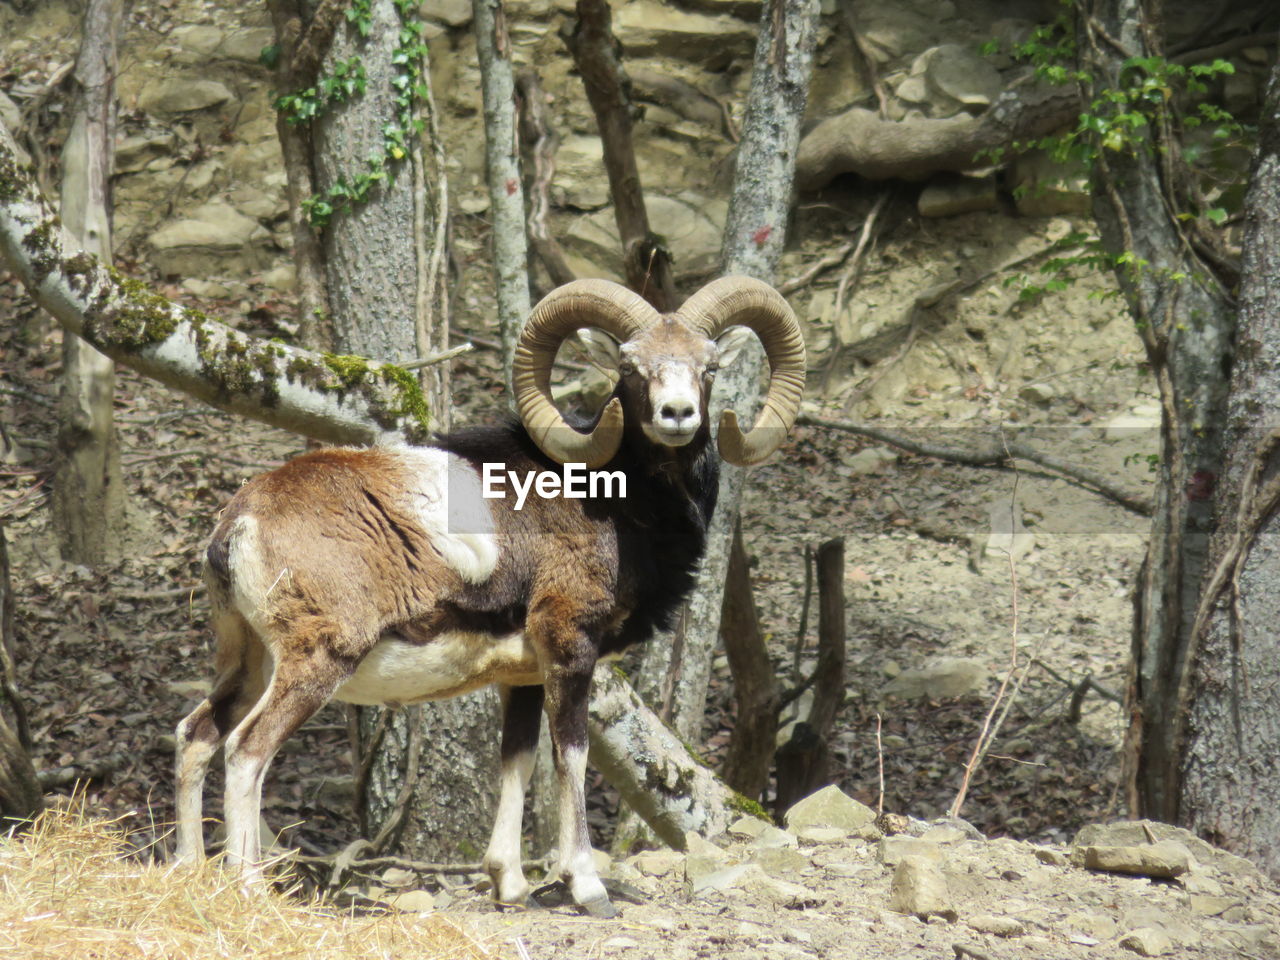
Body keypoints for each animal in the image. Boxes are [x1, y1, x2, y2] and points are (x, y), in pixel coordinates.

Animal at [175, 276, 803, 916]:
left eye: (709, 366)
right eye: (630, 367)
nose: (677, 414)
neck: (617, 500)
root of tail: (239, 523)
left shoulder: (522, 676)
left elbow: (516, 761)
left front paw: (510, 885)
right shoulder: (569, 646)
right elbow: (571, 755)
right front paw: (587, 888)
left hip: (248, 661)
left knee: (197, 736)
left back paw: (188, 870)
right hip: (316, 662)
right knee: (246, 751)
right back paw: (250, 888)